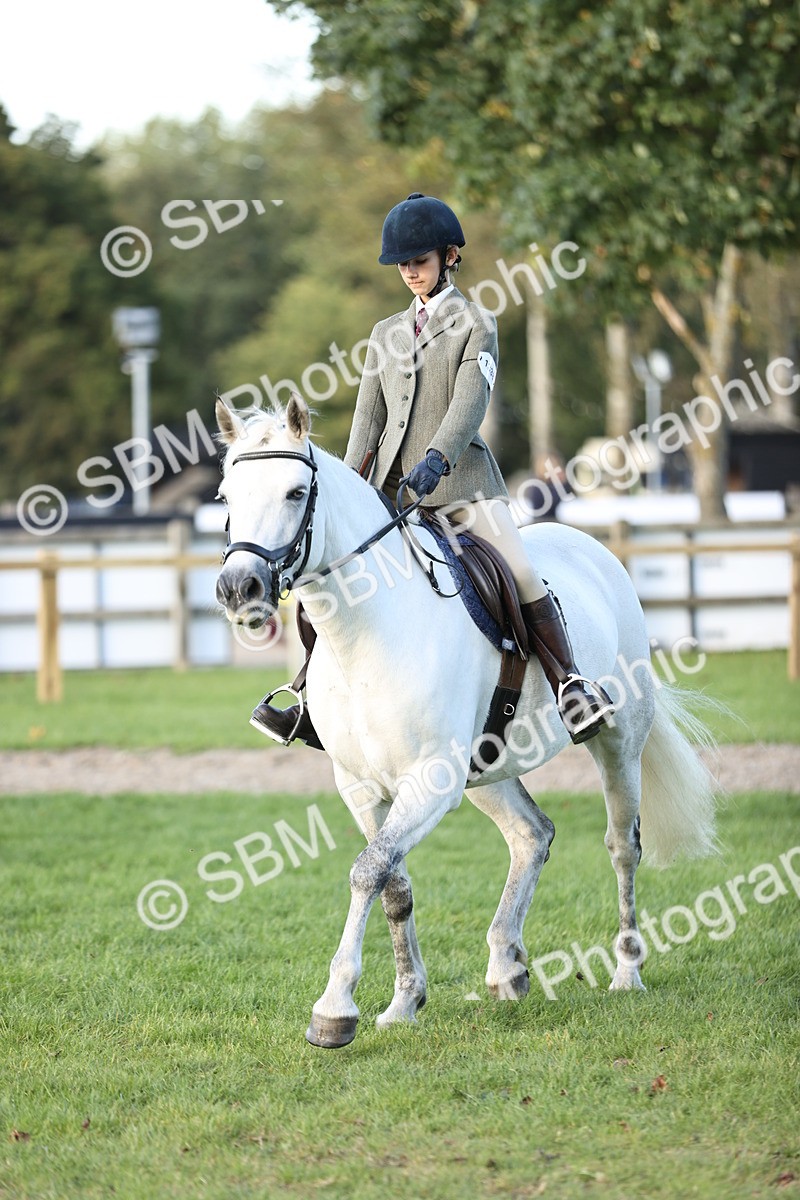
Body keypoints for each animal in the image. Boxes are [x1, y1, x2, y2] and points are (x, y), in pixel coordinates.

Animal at [214, 393, 718, 1049]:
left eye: (297, 493)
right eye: (226, 495)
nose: (238, 588)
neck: (365, 632)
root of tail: (595, 549)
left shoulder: (429, 781)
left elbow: (367, 871)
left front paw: (334, 1009)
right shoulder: (361, 786)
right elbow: (393, 884)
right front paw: (404, 1001)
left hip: (618, 743)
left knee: (622, 846)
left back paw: (626, 972)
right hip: (487, 768)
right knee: (532, 835)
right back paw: (507, 965)